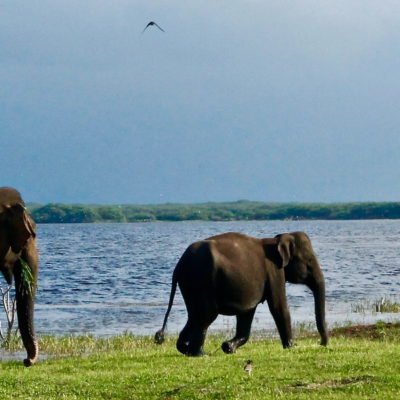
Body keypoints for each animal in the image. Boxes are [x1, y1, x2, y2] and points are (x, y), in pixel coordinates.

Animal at [155, 231, 326, 356]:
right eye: (309, 261)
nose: (321, 344)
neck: (277, 239)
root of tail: (179, 265)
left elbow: (247, 312)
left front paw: (228, 347)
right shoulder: (274, 272)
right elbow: (279, 306)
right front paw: (291, 347)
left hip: (190, 285)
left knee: (194, 315)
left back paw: (184, 349)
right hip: (201, 280)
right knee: (206, 315)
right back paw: (199, 354)